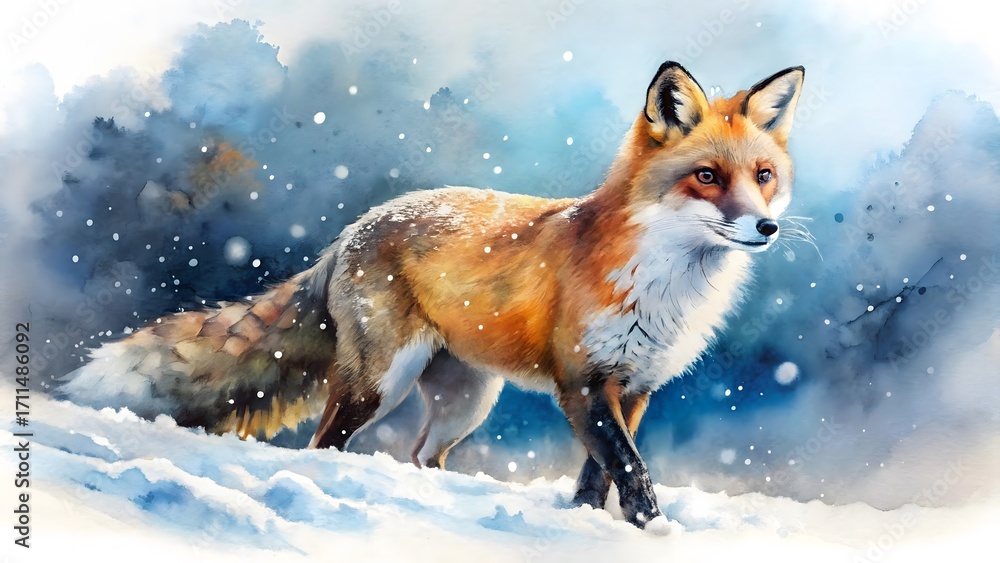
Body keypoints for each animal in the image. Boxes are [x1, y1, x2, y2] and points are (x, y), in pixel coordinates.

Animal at [62, 61, 804, 532]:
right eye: (707, 177)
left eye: (763, 176)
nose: (765, 227)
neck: (665, 285)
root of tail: (352, 228)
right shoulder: (584, 384)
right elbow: (632, 470)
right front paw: (656, 533)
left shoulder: (637, 386)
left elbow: (599, 478)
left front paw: (596, 529)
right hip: (379, 383)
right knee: (323, 445)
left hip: (467, 401)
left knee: (421, 457)